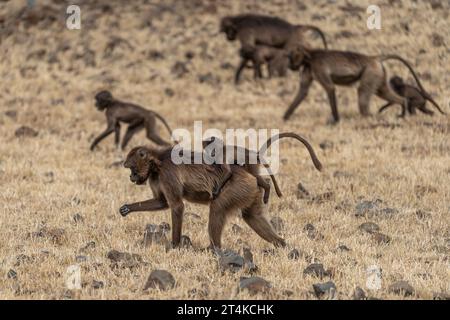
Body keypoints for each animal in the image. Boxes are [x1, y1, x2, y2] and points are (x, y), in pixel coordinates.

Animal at [119, 146, 286, 249]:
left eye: (132, 168)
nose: (131, 177)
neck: (157, 163)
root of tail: (250, 175)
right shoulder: (155, 178)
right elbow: (162, 203)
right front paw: (127, 208)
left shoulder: (167, 173)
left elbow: (177, 206)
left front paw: (174, 246)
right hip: (250, 190)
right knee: (252, 216)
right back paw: (281, 244)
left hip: (238, 187)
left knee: (217, 208)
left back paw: (215, 249)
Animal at [284, 46, 434, 122]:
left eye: (291, 57)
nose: (290, 66)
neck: (310, 57)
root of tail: (374, 58)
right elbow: (303, 92)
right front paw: (285, 117)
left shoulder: (318, 67)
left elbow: (330, 88)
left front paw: (336, 120)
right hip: (378, 73)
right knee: (383, 92)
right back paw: (402, 109)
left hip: (371, 72)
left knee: (362, 91)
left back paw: (367, 117)